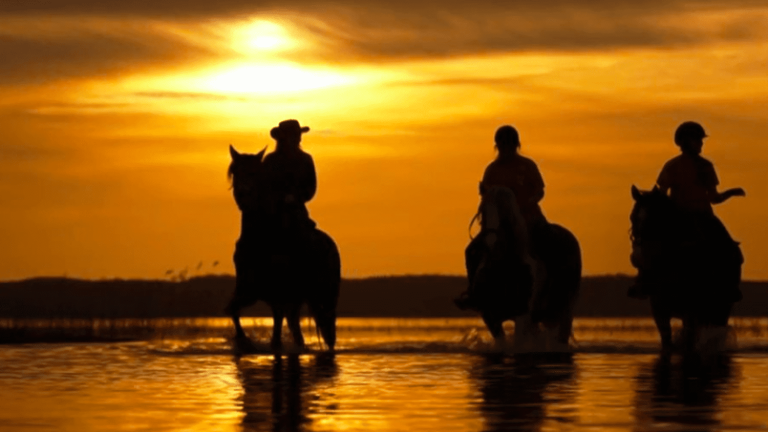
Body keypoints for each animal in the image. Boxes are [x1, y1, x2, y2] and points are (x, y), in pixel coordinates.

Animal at [225, 145, 340, 352]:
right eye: (235, 171)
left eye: (255, 172)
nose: (245, 194)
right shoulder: (248, 290)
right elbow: (233, 310)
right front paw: (243, 340)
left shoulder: (277, 293)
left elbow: (277, 326)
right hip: (299, 297)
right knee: (295, 323)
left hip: (323, 294)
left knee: (327, 323)